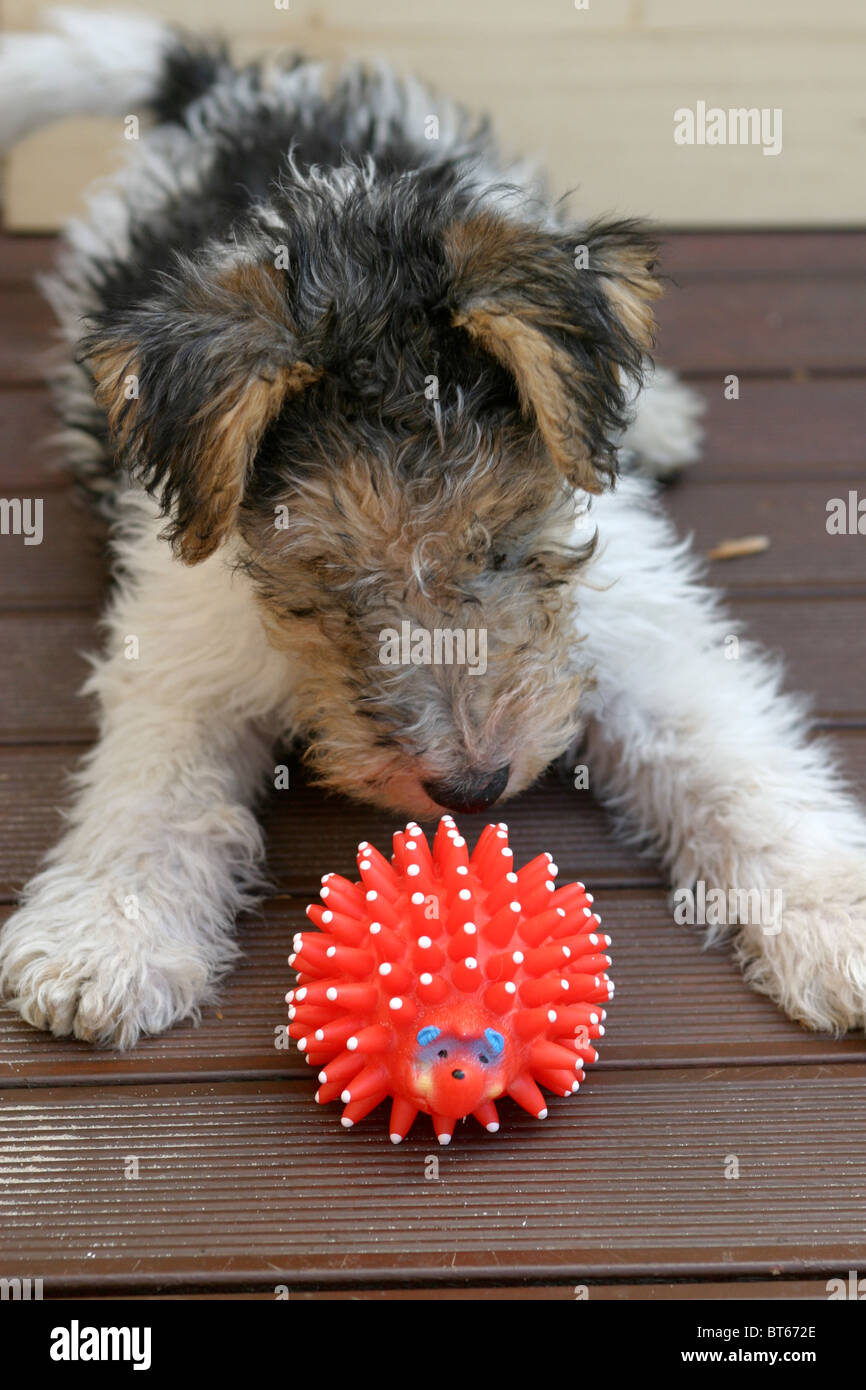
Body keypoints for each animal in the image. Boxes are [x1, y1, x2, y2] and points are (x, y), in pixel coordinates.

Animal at [1, 10, 866, 1045]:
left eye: (503, 543)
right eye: (328, 579)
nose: (473, 788)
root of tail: (225, 91)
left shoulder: (640, 628)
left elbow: (729, 759)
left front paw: (833, 913)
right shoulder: (184, 636)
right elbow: (152, 783)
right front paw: (105, 938)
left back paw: (652, 417)